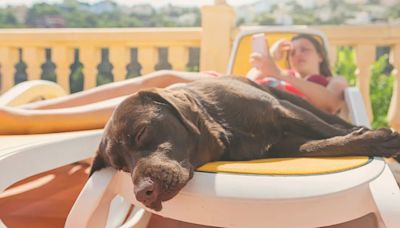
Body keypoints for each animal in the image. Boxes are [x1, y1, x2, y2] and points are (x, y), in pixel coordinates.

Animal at [88, 76, 400, 210]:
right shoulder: (285, 144)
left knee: (333, 122)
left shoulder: (283, 111)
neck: (227, 128)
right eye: (121, 167)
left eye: (141, 132)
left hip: (296, 102)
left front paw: (378, 139)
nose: (143, 193)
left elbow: (327, 133)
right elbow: (323, 145)